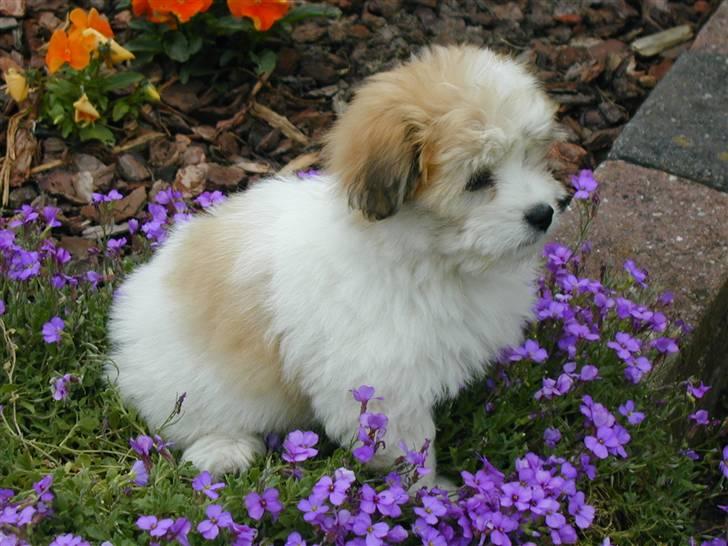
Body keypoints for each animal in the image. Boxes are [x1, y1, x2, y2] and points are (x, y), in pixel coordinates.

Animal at [106, 45, 568, 480]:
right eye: (477, 180)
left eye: (531, 156)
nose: (544, 213)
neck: (430, 257)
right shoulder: (381, 385)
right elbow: (410, 447)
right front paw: (429, 493)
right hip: (194, 388)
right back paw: (224, 450)